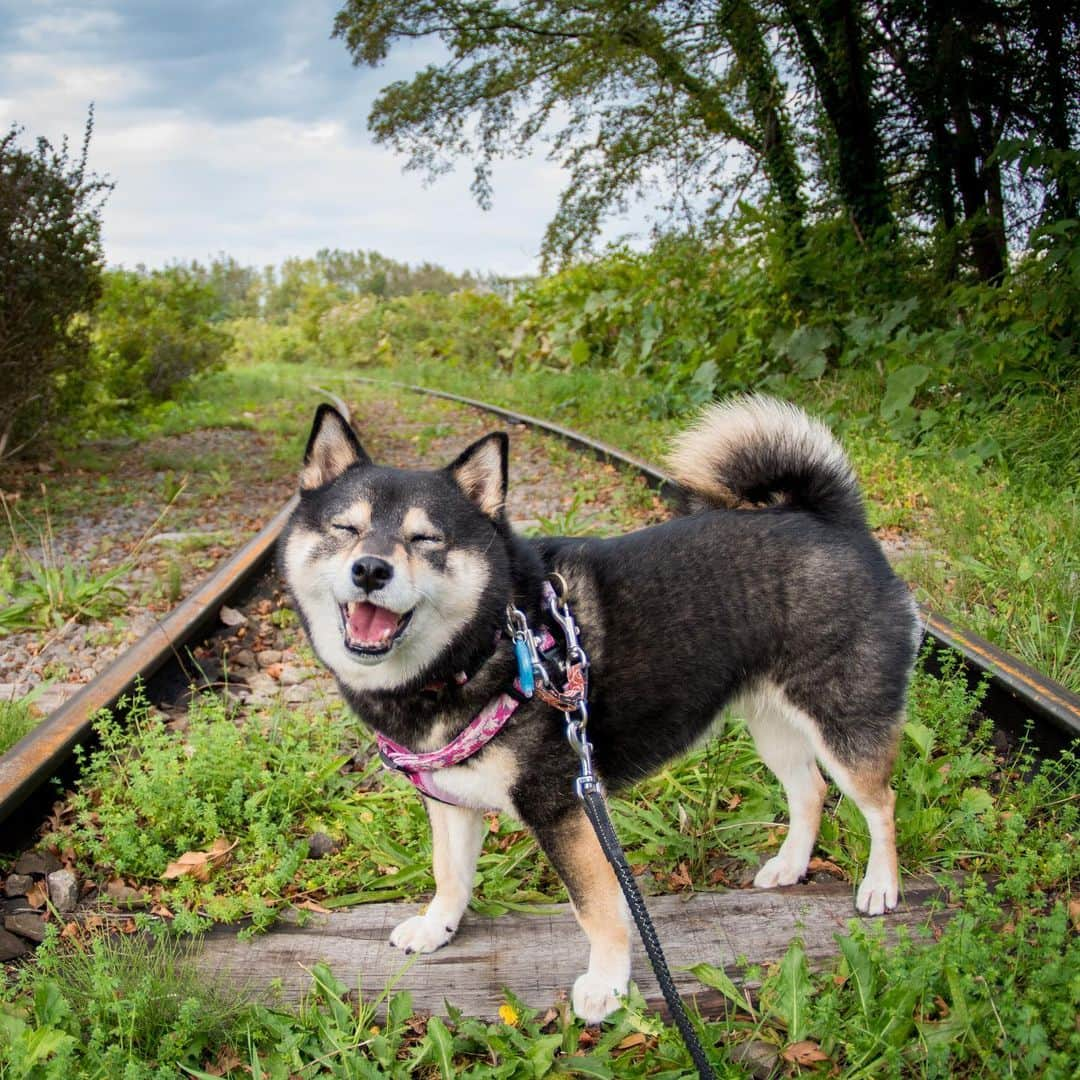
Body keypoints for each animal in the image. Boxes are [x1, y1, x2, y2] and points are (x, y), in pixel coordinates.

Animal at [280, 397, 920, 1019]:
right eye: (346, 527)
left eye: (426, 539)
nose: (370, 568)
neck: (491, 642)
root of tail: (830, 522)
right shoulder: (450, 799)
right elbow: (450, 873)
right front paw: (438, 926)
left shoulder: (565, 807)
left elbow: (598, 909)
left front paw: (609, 985)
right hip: (773, 724)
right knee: (810, 790)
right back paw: (790, 865)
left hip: (842, 721)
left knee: (880, 802)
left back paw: (881, 886)